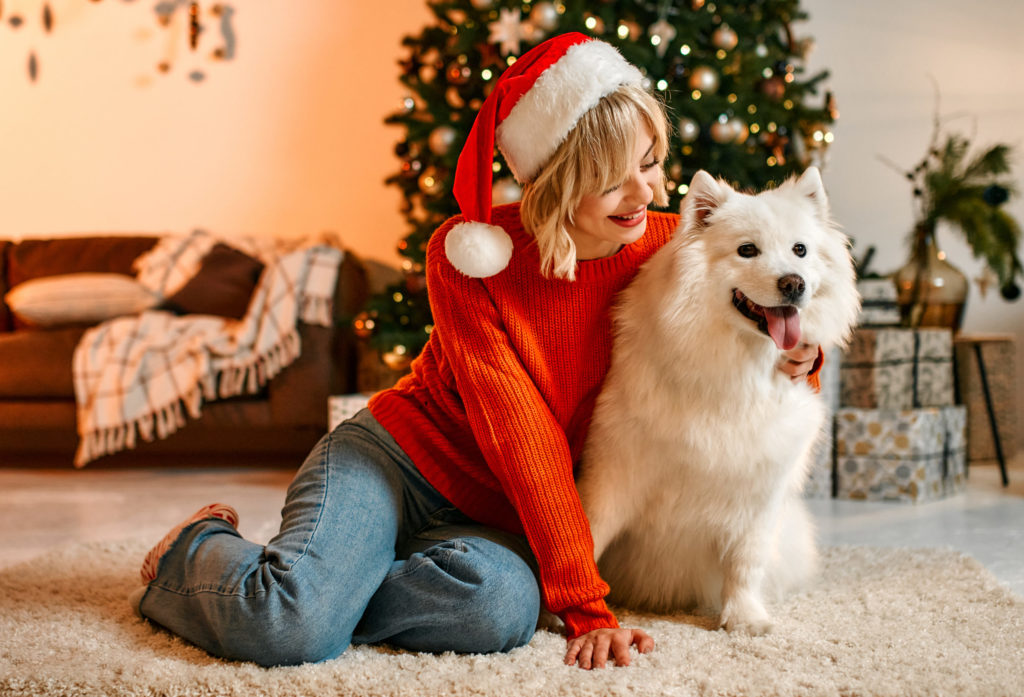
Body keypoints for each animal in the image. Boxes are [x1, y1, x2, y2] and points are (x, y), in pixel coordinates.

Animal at [581, 165, 860, 634]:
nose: (794, 283)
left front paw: (744, 619)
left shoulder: (759, 489)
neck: (736, 369)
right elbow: (590, 534)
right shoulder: (615, 474)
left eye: (800, 250)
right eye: (747, 250)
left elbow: (745, 562)